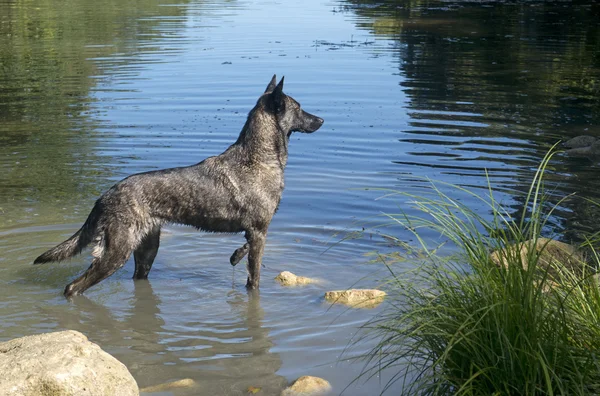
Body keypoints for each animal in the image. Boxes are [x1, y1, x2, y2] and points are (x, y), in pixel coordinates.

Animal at [32, 76, 324, 296]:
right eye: (299, 108)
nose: (321, 120)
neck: (258, 157)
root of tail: (105, 195)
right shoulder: (260, 232)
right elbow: (254, 277)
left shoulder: (253, 232)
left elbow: (243, 250)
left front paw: (234, 255)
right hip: (116, 254)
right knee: (73, 287)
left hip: (147, 251)